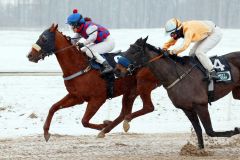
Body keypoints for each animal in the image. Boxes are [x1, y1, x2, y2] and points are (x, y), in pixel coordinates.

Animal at [26, 24, 159, 141]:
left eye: (44, 38)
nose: (30, 55)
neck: (81, 67)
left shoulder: (98, 98)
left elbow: (84, 121)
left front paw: (102, 125)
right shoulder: (76, 96)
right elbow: (53, 107)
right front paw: (46, 132)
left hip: (143, 86)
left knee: (147, 107)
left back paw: (109, 127)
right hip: (130, 90)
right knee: (124, 113)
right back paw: (110, 127)